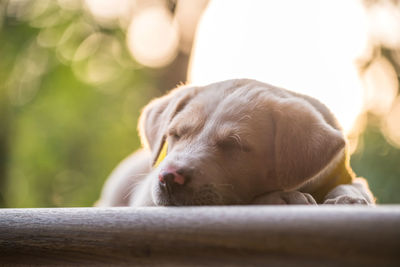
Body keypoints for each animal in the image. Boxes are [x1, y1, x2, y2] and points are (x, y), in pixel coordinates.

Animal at [97, 79, 376, 207]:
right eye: (175, 134)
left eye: (233, 145)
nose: (168, 177)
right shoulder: (148, 202)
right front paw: (282, 197)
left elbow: (354, 186)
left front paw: (349, 198)